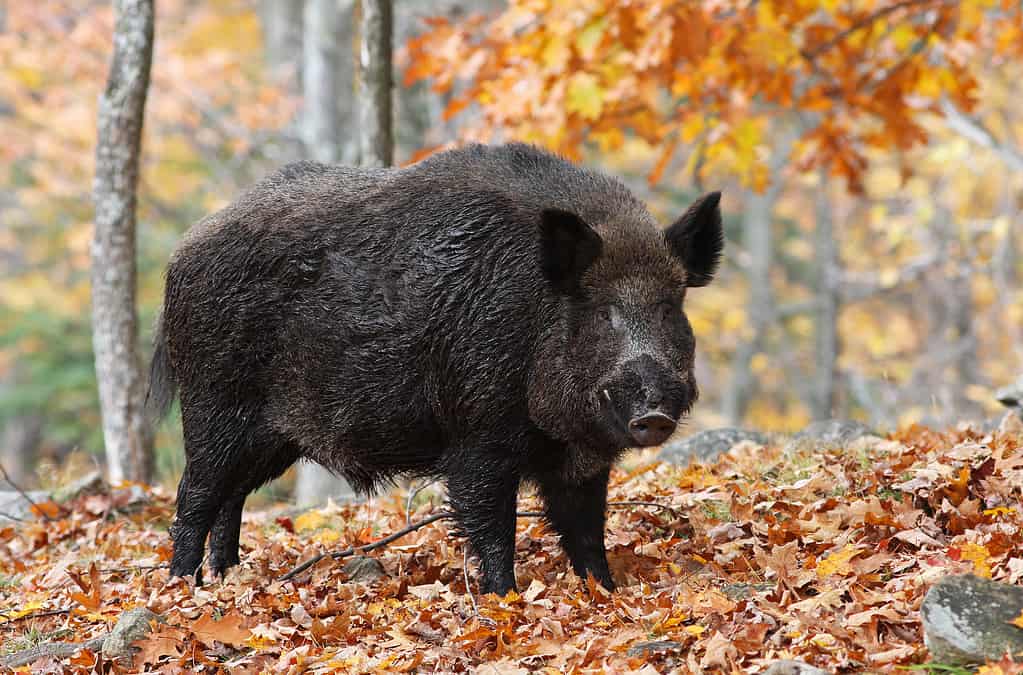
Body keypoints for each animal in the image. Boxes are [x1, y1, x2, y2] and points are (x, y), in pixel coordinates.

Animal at [148, 142, 723, 594]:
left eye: (670, 308)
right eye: (602, 312)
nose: (653, 413)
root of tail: (181, 253)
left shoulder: (580, 460)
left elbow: (585, 529)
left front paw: (604, 591)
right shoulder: (478, 437)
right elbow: (491, 525)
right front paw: (503, 598)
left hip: (272, 437)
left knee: (232, 496)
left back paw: (226, 576)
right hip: (213, 403)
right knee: (195, 493)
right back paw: (184, 587)